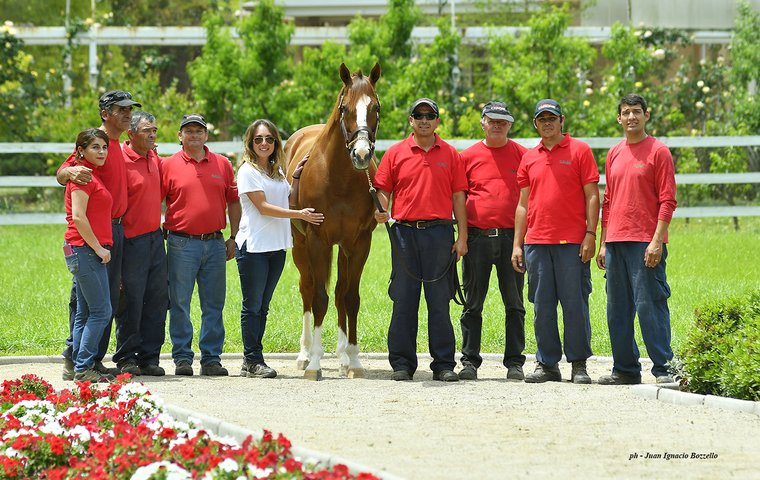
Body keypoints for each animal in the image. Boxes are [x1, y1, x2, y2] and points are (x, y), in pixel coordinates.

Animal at [285, 63, 381, 380]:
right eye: (344, 107)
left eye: (375, 107)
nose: (361, 154)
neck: (339, 178)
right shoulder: (318, 241)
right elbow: (319, 298)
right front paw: (315, 363)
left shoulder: (359, 243)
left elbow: (349, 297)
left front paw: (354, 360)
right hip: (300, 246)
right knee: (307, 289)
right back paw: (304, 354)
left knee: (339, 293)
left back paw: (341, 356)